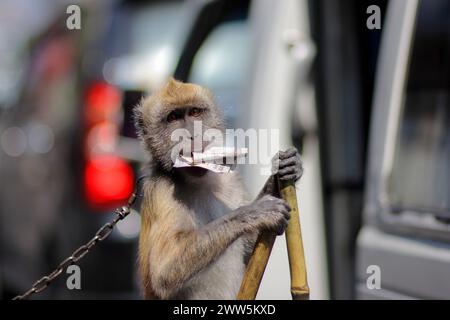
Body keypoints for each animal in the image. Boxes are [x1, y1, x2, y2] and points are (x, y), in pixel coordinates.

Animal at [134, 78, 302, 300]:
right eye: (174, 117)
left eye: (194, 112)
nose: (192, 134)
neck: (195, 180)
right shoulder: (162, 190)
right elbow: (164, 272)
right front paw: (254, 213)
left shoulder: (231, 179)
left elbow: (251, 255)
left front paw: (284, 170)